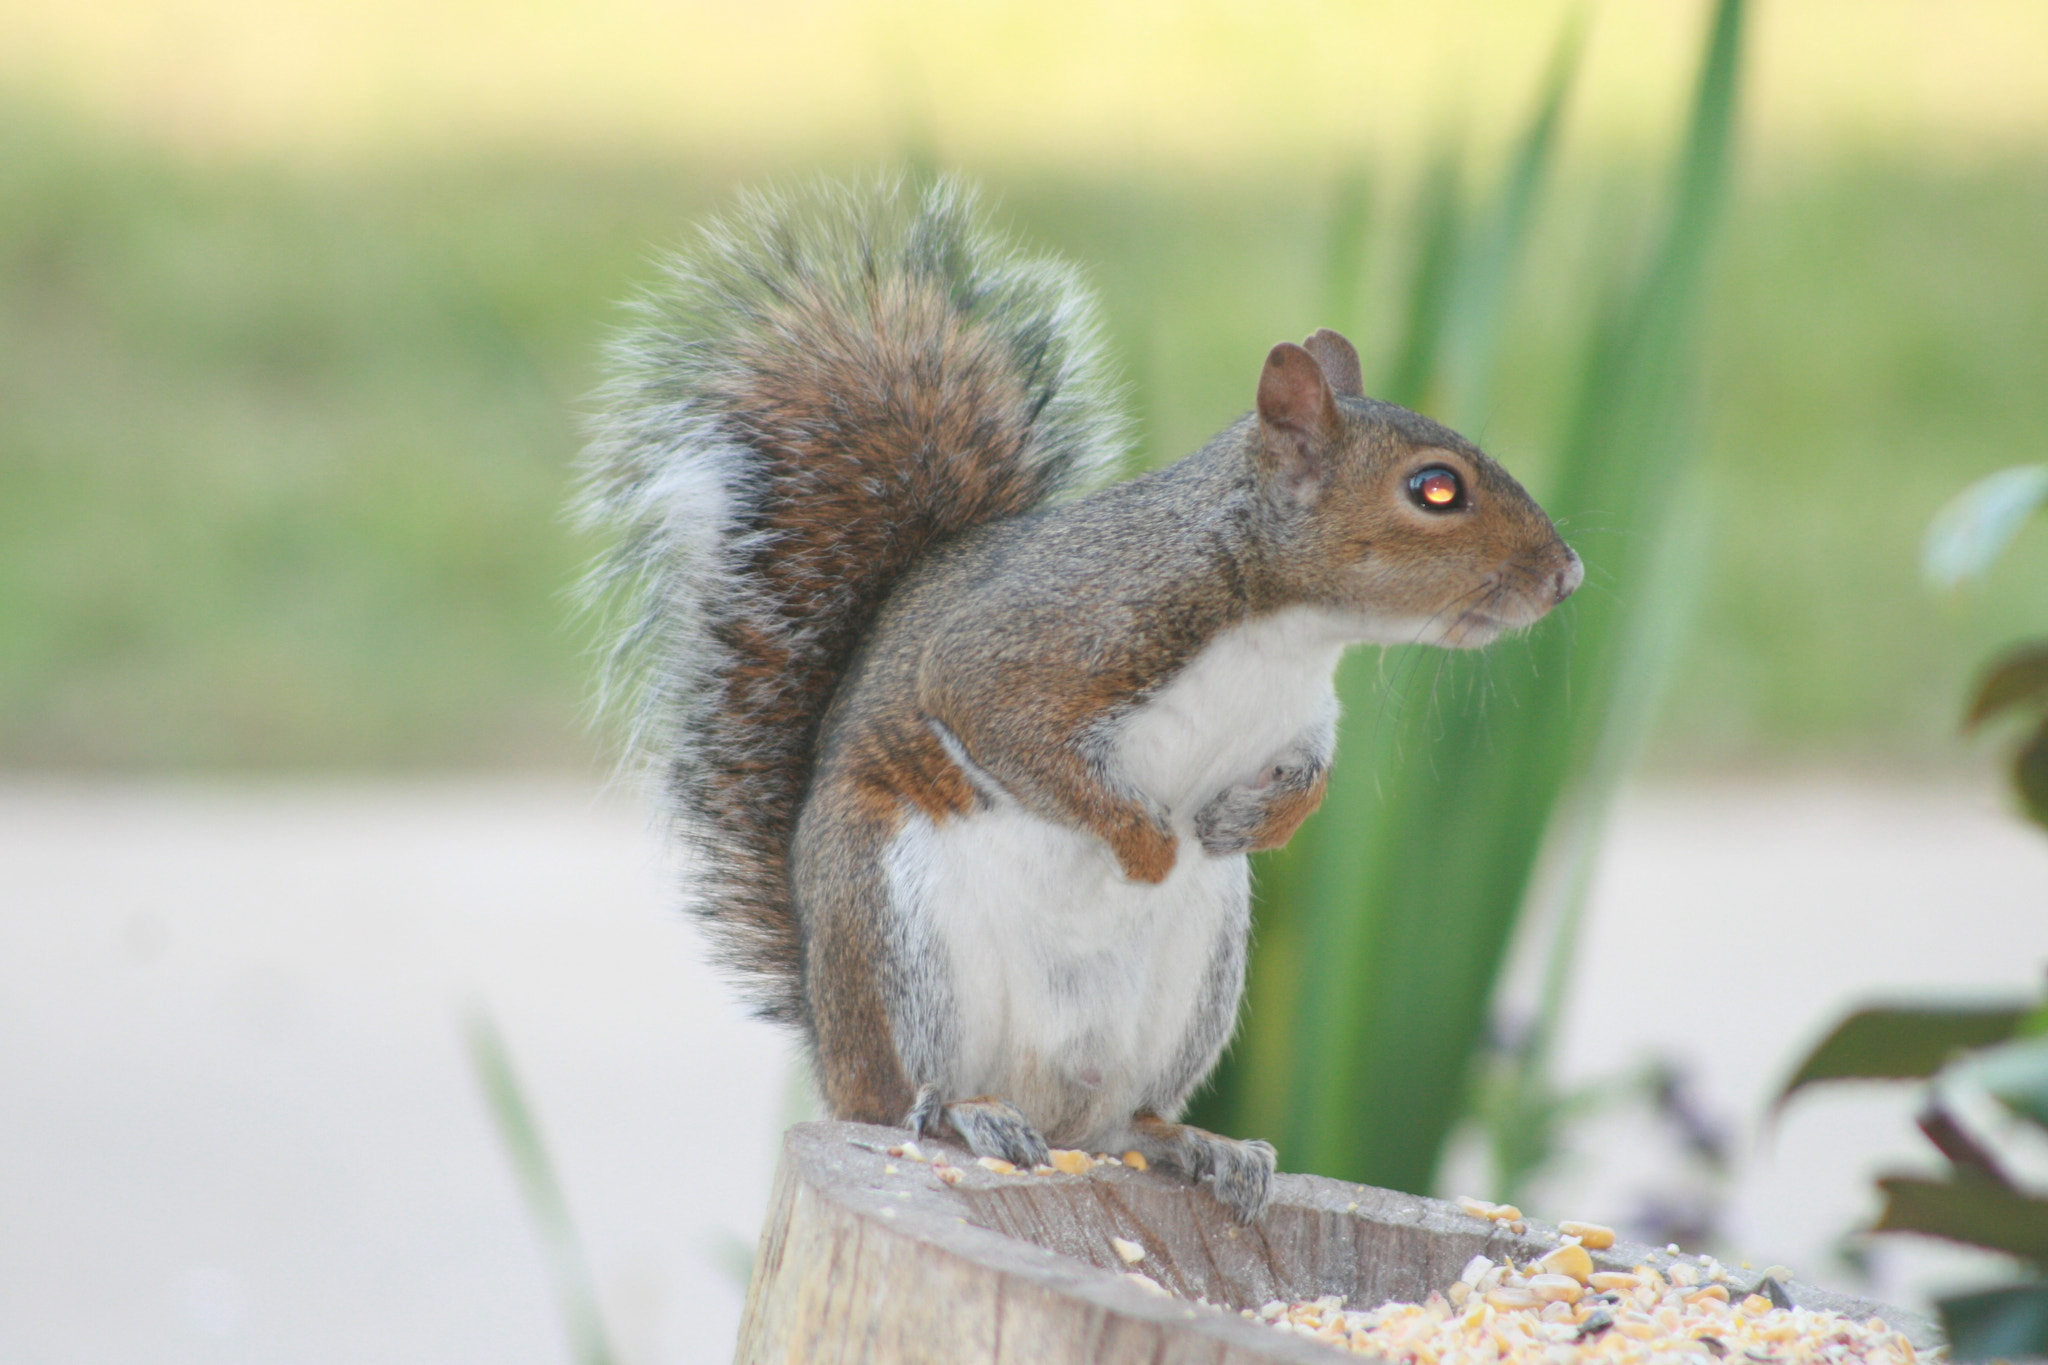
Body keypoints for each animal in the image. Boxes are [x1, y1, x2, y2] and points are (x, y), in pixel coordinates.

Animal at [579, 177, 1582, 1224]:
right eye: (1435, 490)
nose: (1568, 575)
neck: (1282, 630)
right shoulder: (1037, 647)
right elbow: (1011, 734)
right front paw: (1146, 848)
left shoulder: (1299, 716)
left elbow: (1308, 778)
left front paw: (1252, 821)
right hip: (900, 940)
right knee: (908, 1098)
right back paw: (970, 1114)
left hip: (1198, 980)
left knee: (1119, 1121)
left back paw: (1201, 1143)